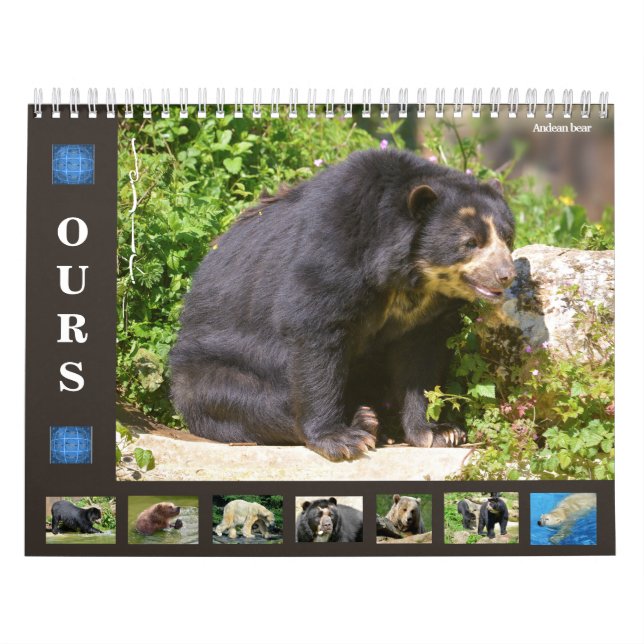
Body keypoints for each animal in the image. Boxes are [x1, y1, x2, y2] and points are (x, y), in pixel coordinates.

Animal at [170, 148, 516, 461]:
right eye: (470, 243)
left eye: (507, 237)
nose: (506, 275)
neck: (408, 277)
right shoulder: (333, 252)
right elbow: (316, 331)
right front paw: (340, 439)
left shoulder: (426, 315)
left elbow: (421, 359)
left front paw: (438, 432)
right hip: (207, 370)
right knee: (247, 400)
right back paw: (363, 421)